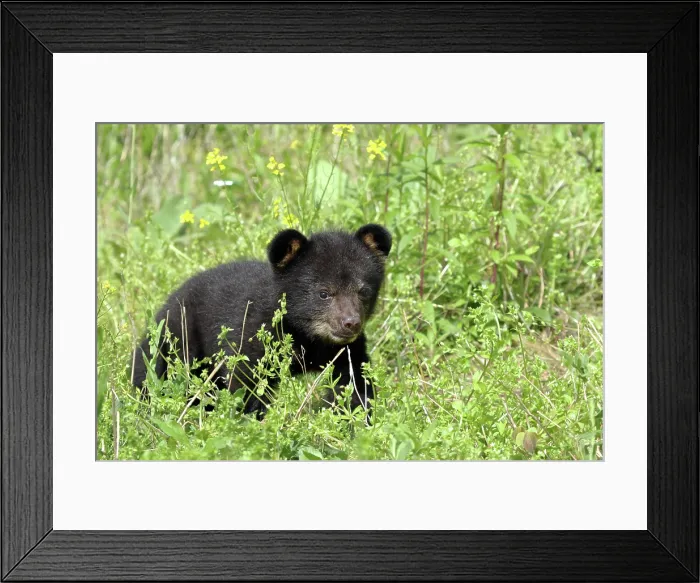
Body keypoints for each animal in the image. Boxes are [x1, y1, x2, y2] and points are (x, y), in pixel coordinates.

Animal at [131, 223, 392, 422]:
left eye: (363, 291)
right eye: (324, 293)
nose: (350, 323)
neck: (307, 337)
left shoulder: (347, 350)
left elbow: (354, 383)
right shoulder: (253, 335)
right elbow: (247, 384)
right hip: (177, 338)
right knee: (151, 370)